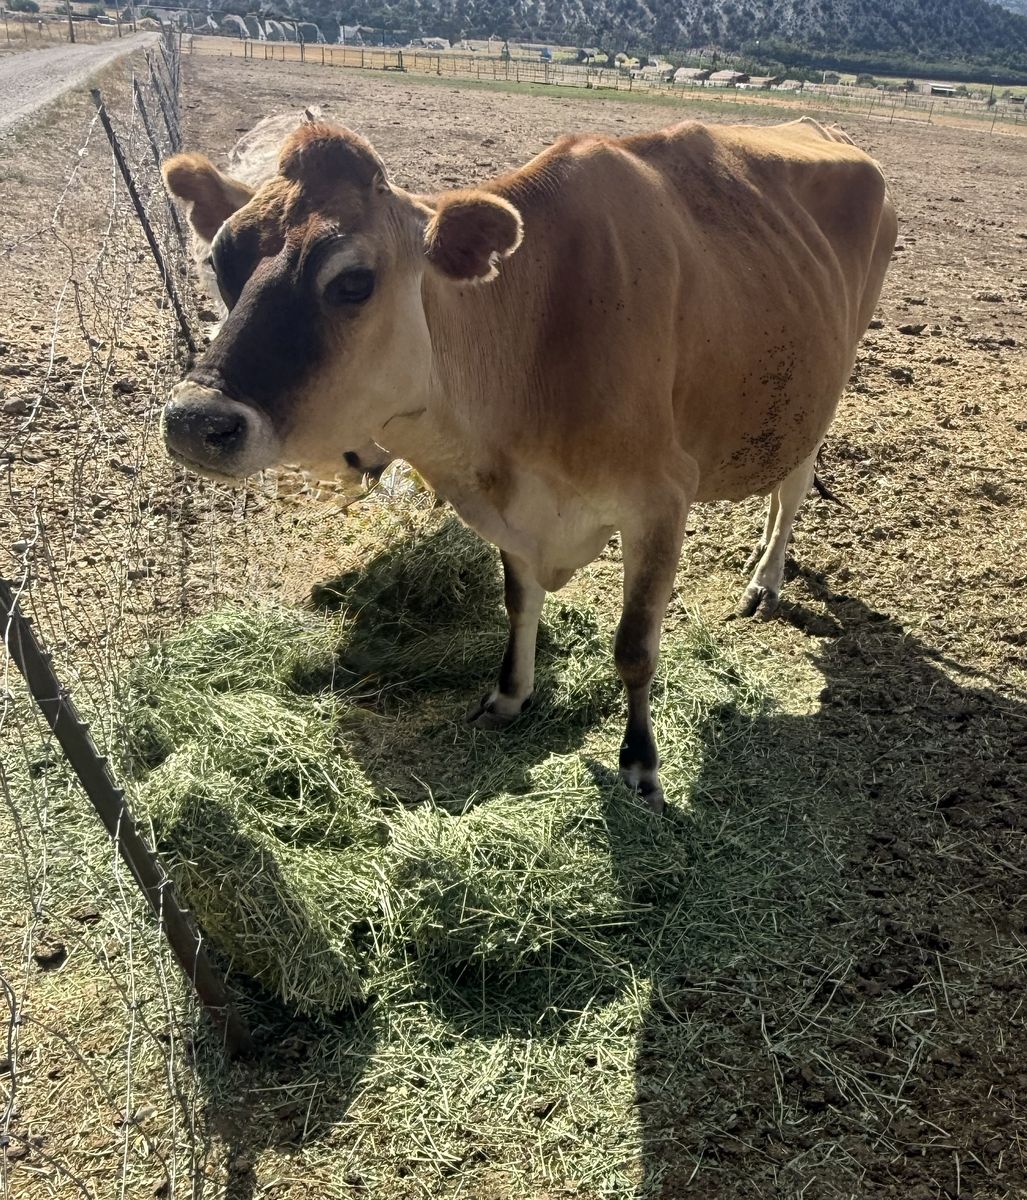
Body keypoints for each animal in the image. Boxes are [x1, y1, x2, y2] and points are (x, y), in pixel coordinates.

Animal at [160, 116, 896, 812]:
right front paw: (509, 696)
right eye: (220, 264)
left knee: (792, 488)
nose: (195, 421)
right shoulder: (511, 509)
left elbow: (634, 648)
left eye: (353, 282)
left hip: (826, 387)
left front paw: (640, 767)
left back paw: (765, 579)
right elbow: (519, 604)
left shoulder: (661, 498)